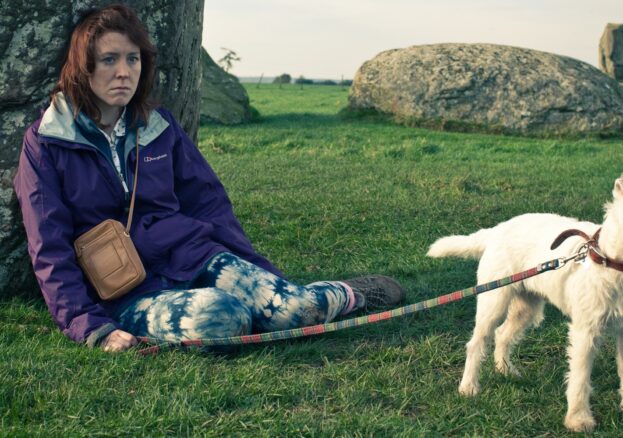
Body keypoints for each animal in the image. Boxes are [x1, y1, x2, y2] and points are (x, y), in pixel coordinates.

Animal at [427, 176, 623, 432]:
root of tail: (497, 230)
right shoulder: (585, 331)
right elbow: (580, 378)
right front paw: (578, 419)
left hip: (525, 308)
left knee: (502, 335)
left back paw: (505, 371)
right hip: (493, 303)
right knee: (477, 343)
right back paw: (468, 387)